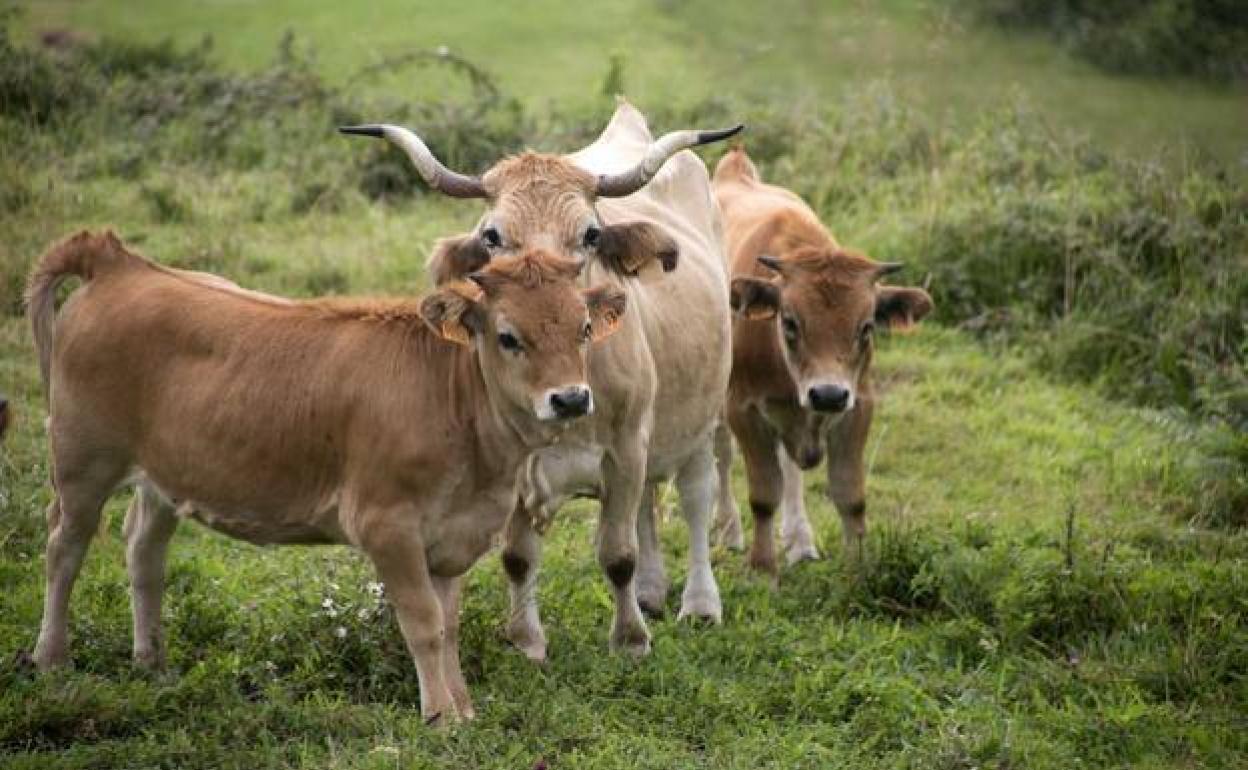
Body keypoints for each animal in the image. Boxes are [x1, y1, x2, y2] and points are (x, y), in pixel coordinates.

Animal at [29, 228, 643, 718]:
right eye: (508, 337)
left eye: (584, 328)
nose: (570, 398)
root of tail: (120, 263)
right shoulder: (386, 526)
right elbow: (423, 623)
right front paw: (440, 717)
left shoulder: (454, 536)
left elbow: (448, 626)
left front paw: (463, 707)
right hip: (81, 462)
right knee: (64, 549)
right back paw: (52, 659)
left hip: (163, 478)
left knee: (144, 552)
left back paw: (152, 662)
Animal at [341, 100, 738, 653]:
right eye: (493, 236)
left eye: (591, 235)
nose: (543, 304)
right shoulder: (519, 464)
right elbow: (518, 557)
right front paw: (527, 641)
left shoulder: (626, 447)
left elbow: (618, 555)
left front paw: (630, 640)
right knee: (646, 509)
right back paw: (652, 594)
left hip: (701, 417)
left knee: (697, 498)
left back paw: (700, 604)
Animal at [708, 147, 933, 574]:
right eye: (789, 321)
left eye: (866, 327)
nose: (827, 394)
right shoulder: (742, 409)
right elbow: (763, 496)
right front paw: (762, 567)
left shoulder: (857, 405)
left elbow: (850, 496)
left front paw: (858, 568)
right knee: (722, 455)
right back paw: (728, 530)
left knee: (790, 468)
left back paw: (800, 540)